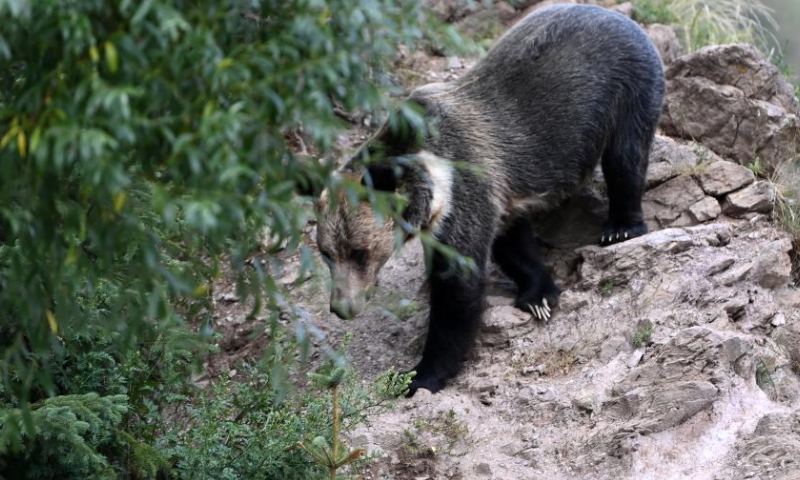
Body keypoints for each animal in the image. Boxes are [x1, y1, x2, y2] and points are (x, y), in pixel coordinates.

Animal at [312, 4, 665, 396]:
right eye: (326, 252)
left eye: (359, 252)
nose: (342, 307)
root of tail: (619, 16)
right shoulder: (498, 196)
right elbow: (512, 243)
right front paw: (538, 295)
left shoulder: (465, 189)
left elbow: (458, 284)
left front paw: (420, 375)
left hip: (627, 86)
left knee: (625, 157)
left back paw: (621, 226)